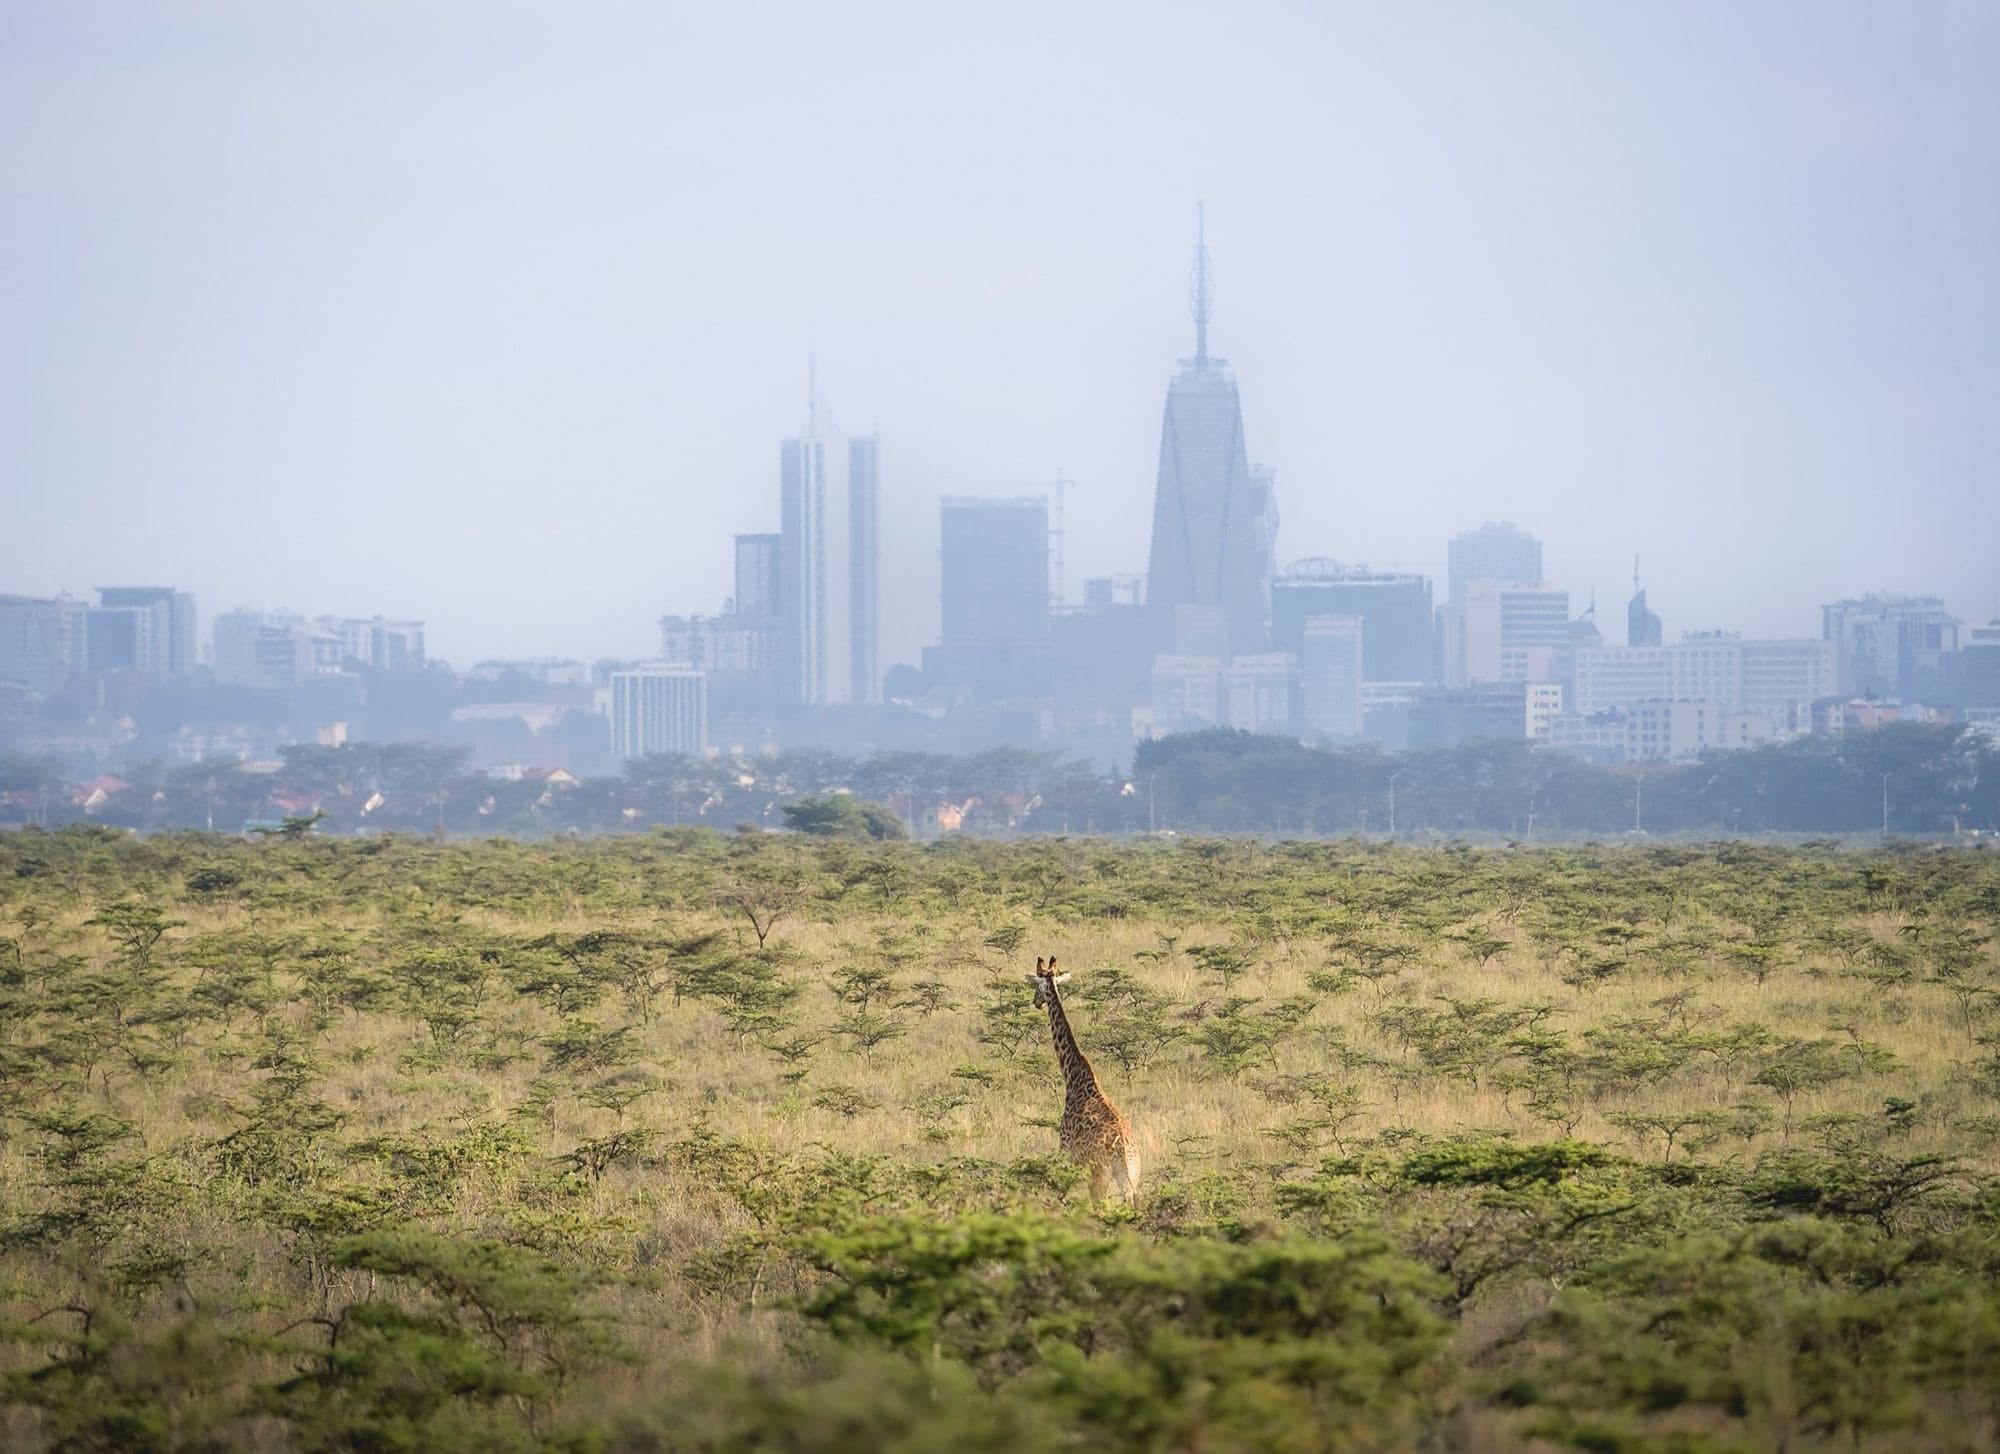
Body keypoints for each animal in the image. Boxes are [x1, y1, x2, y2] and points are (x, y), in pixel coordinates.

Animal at [1028, 955, 1141, 1203]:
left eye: (1036, 987)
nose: (1035, 1002)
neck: (1074, 1076)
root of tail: (1123, 1153)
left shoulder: (1065, 1150)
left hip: (1099, 1177)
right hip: (1132, 1179)